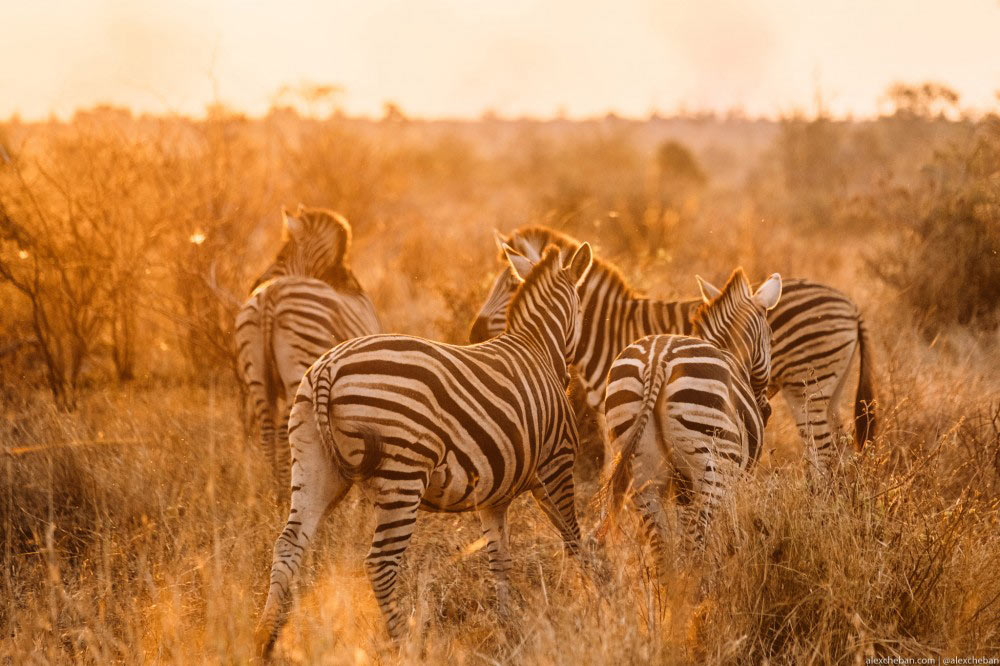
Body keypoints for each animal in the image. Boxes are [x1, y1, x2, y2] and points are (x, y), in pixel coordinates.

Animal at [234, 208, 378, 492]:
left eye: (279, 257)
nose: (254, 283)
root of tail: (271, 294)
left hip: (257, 377)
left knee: (267, 432)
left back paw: (275, 487)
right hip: (299, 372)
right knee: (284, 433)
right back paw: (285, 486)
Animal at [254, 239, 592, 652]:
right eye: (582, 309)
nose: (569, 377)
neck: (538, 346)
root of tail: (327, 369)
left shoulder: (492, 494)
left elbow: (500, 559)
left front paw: (508, 625)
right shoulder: (555, 466)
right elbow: (573, 537)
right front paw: (597, 601)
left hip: (312, 462)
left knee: (288, 546)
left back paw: (265, 639)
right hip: (404, 473)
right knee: (380, 564)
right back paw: (405, 643)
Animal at [468, 226, 876, 474]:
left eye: (513, 286)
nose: (473, 332)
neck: (607, 330)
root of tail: (851, 304)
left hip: (808, 387)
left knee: (824, 454)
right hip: (829, 390)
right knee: (840, 452)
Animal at [600, 268, 780, 572]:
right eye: (771, 339)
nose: (765, 410)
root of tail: (656, 362)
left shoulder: (682, 485)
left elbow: (683, 531)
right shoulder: (735, 478)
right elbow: (726, 533)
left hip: (641, 469)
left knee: (660, 547)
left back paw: (674, 586)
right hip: (713, 466)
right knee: (698, 542)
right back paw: (699, 583)